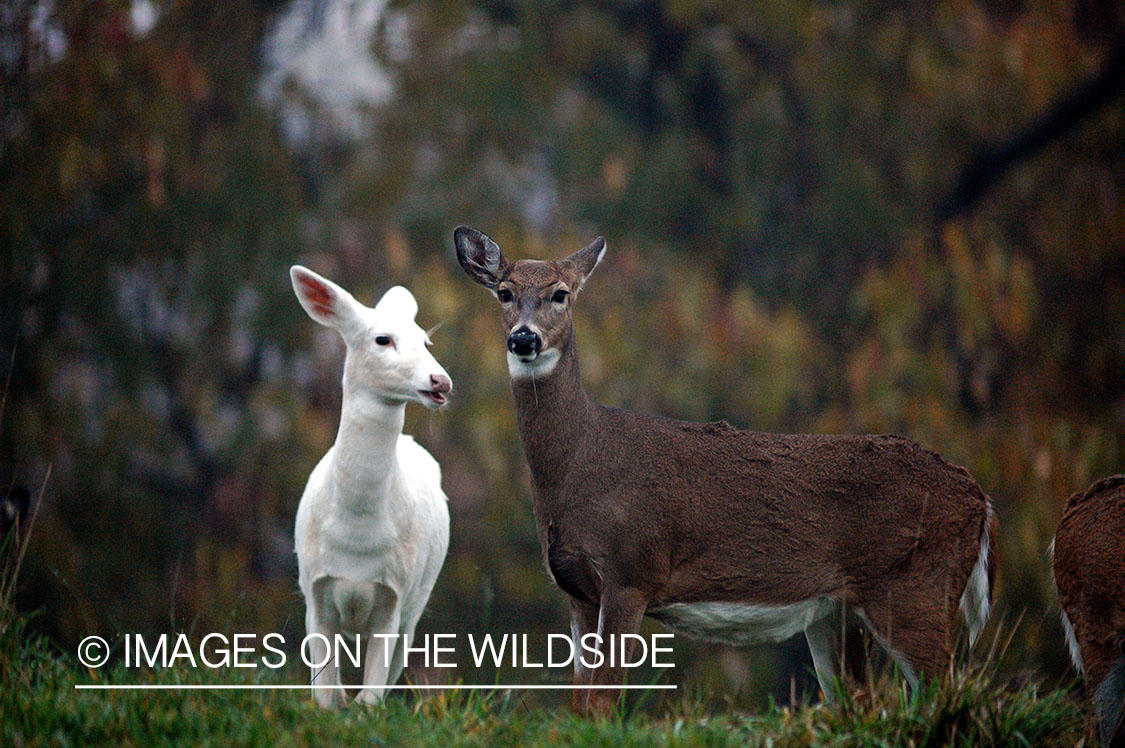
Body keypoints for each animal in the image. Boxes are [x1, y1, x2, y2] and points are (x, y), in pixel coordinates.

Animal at [288, 266, 450, 706]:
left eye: (425, 341)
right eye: (382, 339)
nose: (440, 381)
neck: (357, 538)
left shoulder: (394, 597)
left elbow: (369, 699)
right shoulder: (315, 591)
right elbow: (328, 697)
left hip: (418, 601)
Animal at [452, 227, 999, 719]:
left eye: (560, 294)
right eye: (504, 292)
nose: (524, 338)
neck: (581, 462)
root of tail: (979, 497)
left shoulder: (632, 570)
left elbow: (602, 703)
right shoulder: (578, 591)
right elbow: (580, 704)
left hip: (915, 583)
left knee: (950, 690)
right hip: (837, 610)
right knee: (860, 704)